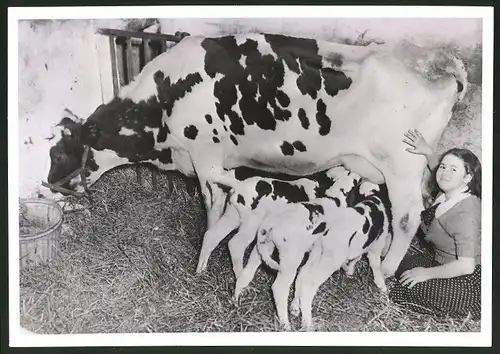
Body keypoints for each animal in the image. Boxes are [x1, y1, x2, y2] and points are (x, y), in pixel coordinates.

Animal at [44, 33, 468, 276]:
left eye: (61, 152)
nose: (48, 184)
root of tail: (437, 60)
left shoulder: (205, 154)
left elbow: (214, 200)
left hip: (401, 165)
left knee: (407, 217)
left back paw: (388, 269)